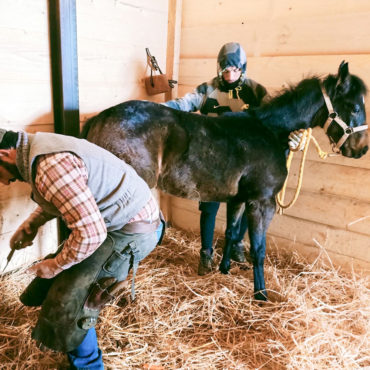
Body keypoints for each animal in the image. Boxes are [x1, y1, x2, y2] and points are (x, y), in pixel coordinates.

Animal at [81, 61, 368, 300]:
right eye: (354, 106)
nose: (361, 149)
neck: (269, 131)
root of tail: (99, 118)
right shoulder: (261, 203)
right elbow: (259, 249)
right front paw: (261, 294)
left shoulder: (238, 199)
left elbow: (230, 232)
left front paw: (225, 268)